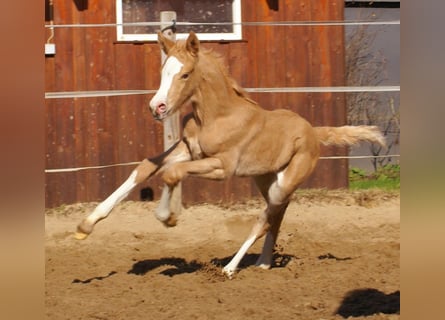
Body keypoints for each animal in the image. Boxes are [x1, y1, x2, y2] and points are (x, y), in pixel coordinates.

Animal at [74, 31, 384, 278]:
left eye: (185, 74)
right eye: (163, 71)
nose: (157, 107)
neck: (216, 116)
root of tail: (314, 132)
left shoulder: (222, 168)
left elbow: (171, 174)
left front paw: (167, 217)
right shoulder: (187, 149)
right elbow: (146, 167)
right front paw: (86, 225)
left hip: (285, 183)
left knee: (263, 219)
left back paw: (231, 268)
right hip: (267, 181)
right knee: (276, 216)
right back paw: (263, 263)